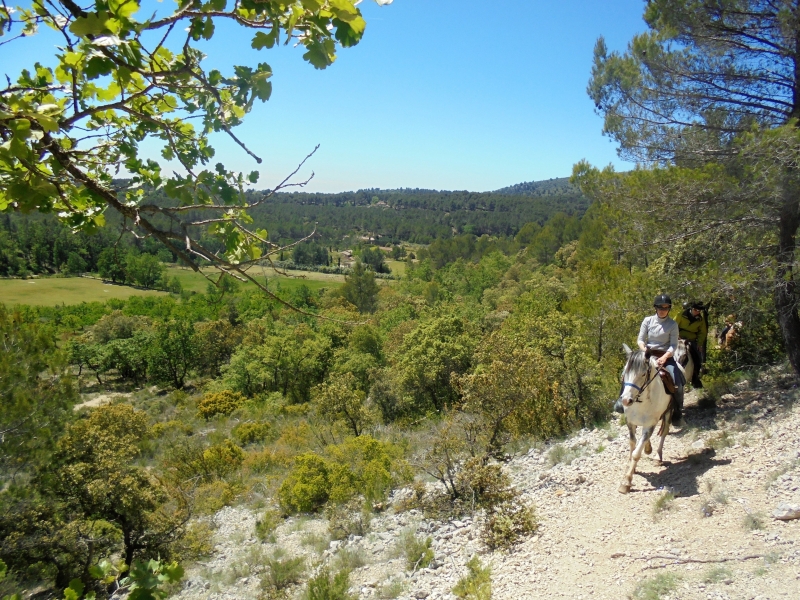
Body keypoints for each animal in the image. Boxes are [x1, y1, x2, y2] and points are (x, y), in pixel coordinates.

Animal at [620, 344, 676, 494]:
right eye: (624, 373)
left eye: (643, 374)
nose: (626, 400)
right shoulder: (630, 423)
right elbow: (632, 445)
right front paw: (631, 467)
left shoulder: (649, 425)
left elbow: (636, 453)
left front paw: (626, 482)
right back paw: (648, 448)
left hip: (668, 413)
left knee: (664, 433)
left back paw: (657, 457)